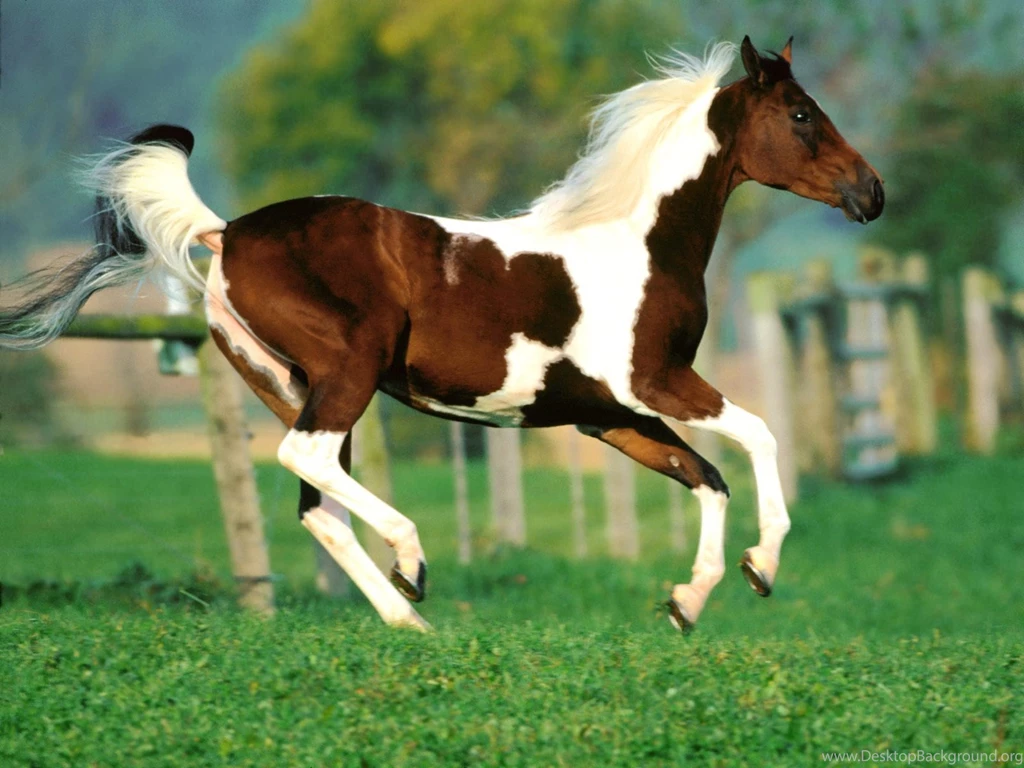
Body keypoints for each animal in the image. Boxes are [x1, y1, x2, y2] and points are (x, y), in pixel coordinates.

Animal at [0, 37, 883, 632]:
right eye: (801, 114)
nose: (871, 192)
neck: (640, 242)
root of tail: (228, 233)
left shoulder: (611, 417)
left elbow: (707, 477)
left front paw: (687, 601)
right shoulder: (657, 384)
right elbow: (759, 437)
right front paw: (762, 568)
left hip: (294, 385)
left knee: (317, 501)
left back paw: (409, 619)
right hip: (348, 371)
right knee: (308, 463)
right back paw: (413, 562)